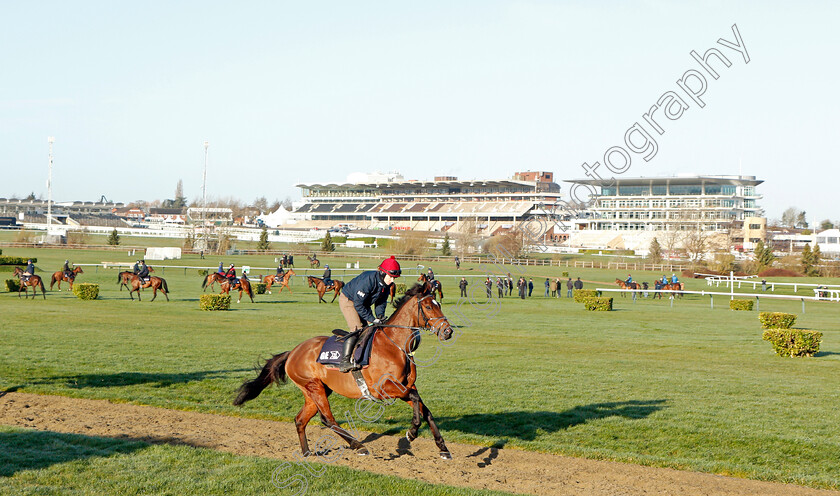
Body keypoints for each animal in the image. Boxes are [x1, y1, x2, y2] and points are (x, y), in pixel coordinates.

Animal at [233, 282, 456, 462]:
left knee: (300, 419)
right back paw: (359, 446)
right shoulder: (384, 388)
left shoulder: (405, 386)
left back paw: (306, 453)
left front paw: (443, 448)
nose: (448, 331)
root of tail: (292, 352)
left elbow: (426, 410)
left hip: (316, 390)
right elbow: (417, 401)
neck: (395, 345)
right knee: (327, 419)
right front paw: (411, 432)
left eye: (439, 304)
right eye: (428, 306)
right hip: (314, 387)